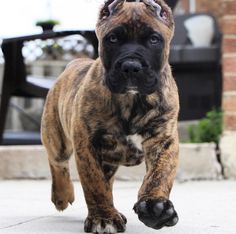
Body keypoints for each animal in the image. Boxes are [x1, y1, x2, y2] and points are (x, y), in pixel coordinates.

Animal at [41, 0, 180, 233]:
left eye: (154, 39)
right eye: (113, 39)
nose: (131, 66)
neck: (132, 100)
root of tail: (73, 63)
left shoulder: (163, 140)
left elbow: (159, 175)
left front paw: (155, 207)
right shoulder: (87, 145)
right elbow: (95, 185)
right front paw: (103, 218)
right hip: (56, 138)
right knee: (57, 163)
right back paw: (62, 196)